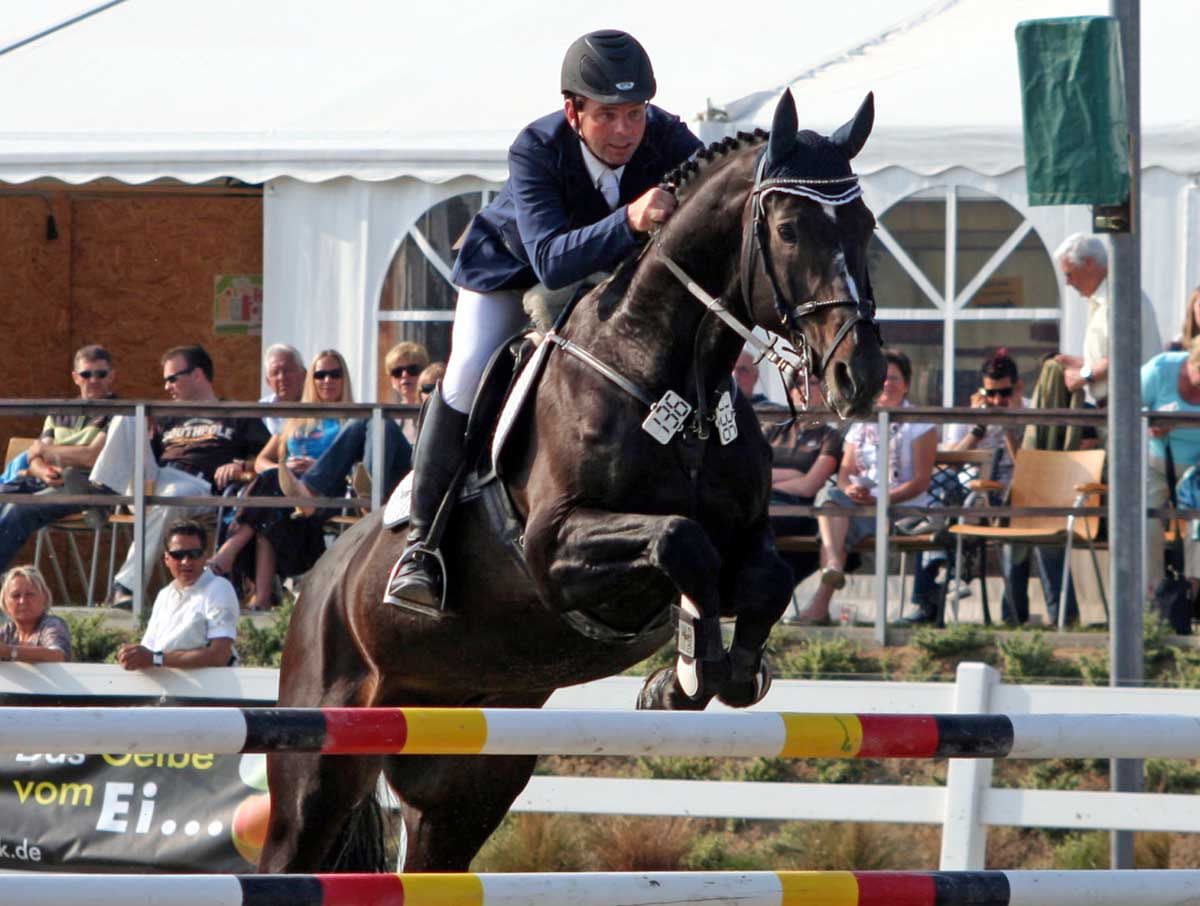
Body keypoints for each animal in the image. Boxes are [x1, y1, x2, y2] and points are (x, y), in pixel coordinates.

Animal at [260, 88, 883, 873]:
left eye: (866, 226)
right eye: (792, 229)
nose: (859, 377)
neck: (678, 385)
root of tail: (315, 580)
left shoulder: (749, 536)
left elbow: (762, 578)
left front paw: (719, 673)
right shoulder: (555, 549)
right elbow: (682, 543)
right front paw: (687, 674)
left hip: (468, 777)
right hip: (317, 767)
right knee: (290, 844)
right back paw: (417, 574)